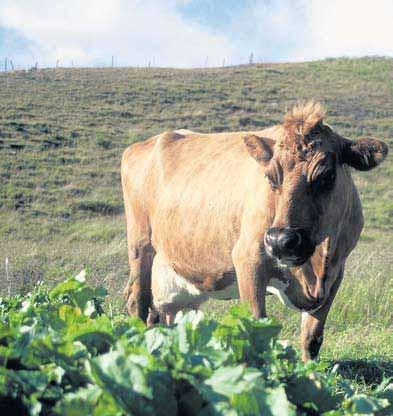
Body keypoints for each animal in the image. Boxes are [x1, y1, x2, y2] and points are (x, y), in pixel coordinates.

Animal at [121, 102, 388, 360]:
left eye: (327, 176)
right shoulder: (248, 259)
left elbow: (312, 339)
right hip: (140, 246)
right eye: (270, 177)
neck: (314, 267)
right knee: (137, 301)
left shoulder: (335, 273)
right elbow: (256, 330)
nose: (280, 240)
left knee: (161, 315)